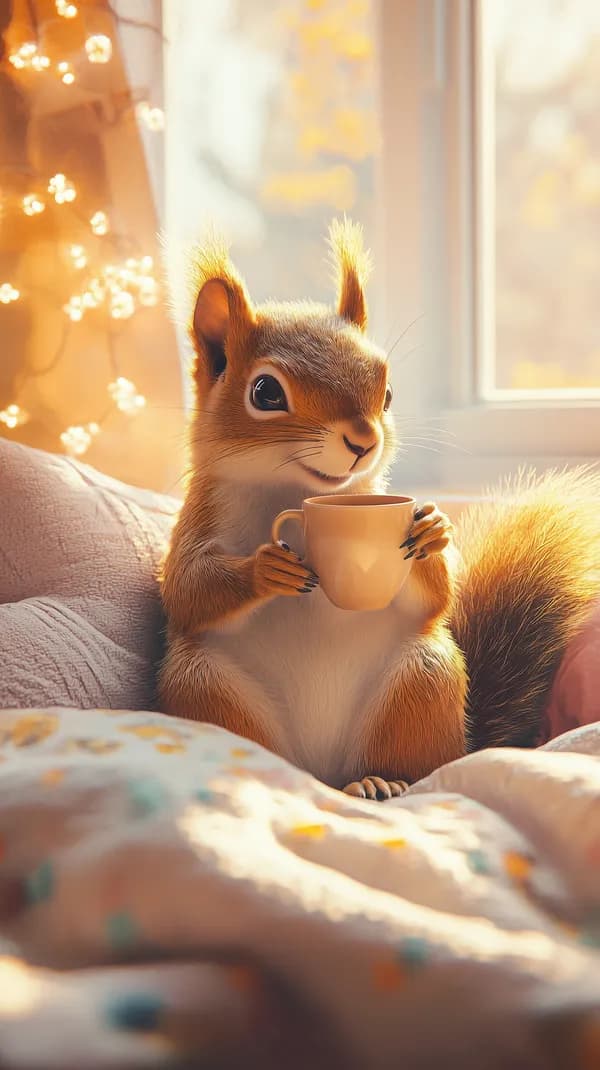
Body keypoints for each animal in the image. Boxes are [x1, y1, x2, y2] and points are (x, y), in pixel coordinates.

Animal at [158, 219, 600, 799]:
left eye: (387, 392)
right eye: (265, 392)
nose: (364, 440)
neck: (295, 494)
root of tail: (322, 771)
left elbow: (435, 601)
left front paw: (434, 530)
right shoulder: (196, 520)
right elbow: (187, 590)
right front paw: (265, 568)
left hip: (422, 678)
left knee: (410, 762)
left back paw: (377, 782)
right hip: (202, 687)